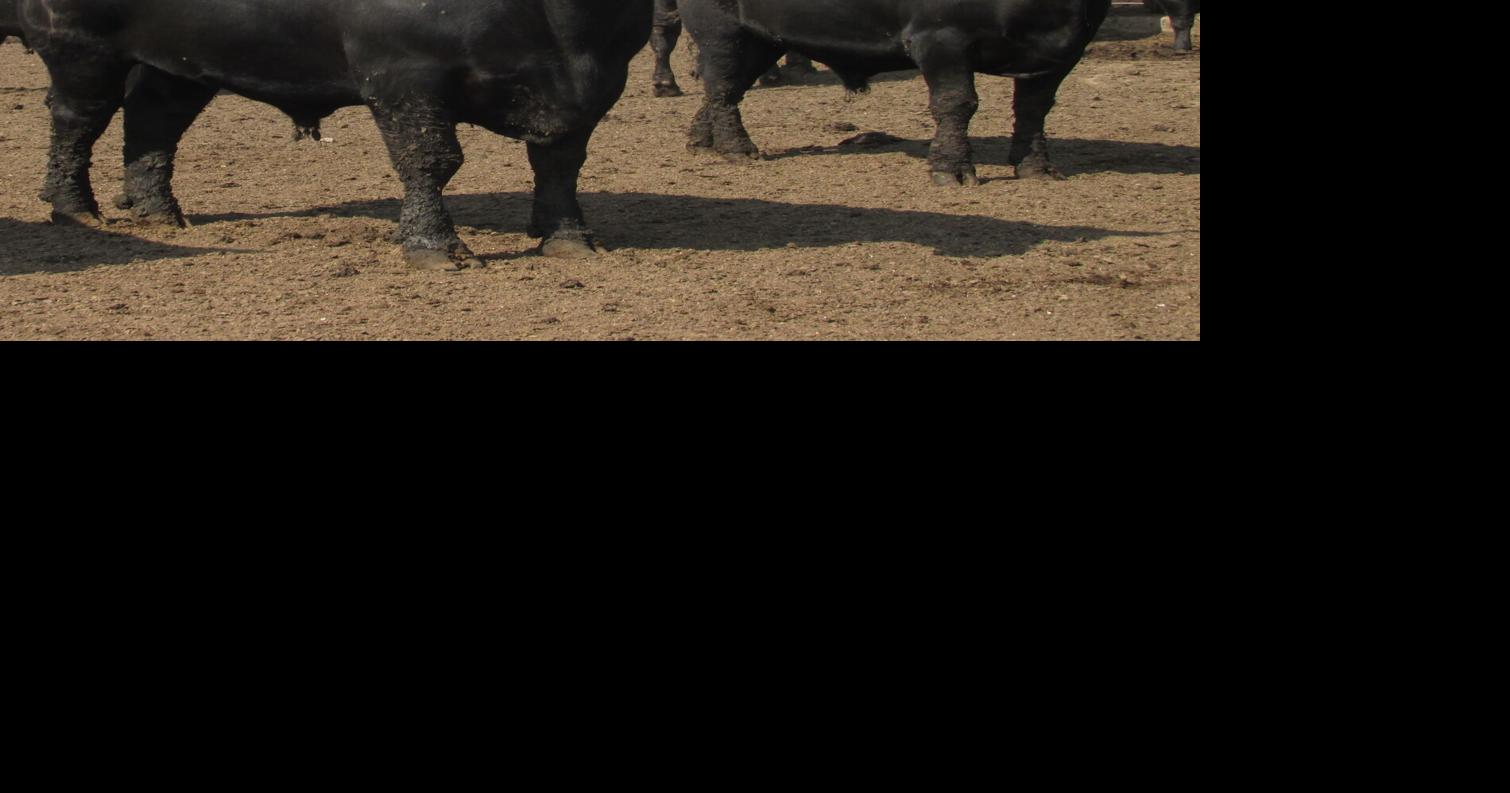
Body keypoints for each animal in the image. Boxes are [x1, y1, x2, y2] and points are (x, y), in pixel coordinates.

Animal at [18, 0, 653, 269]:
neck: (567, 35)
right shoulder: (403, 73)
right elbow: (430, 161)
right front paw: (434, 246)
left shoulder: (602, 80)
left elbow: (560, 164)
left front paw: (569, 238)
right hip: (81, 48)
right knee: (77, 121)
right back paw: (73, 207)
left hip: (179, 62)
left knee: (152, 125)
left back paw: (158, 212)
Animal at [681, 0, 1110, 187]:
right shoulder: (941, 38)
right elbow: (956, 103)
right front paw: (951, 168)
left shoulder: (1064, 53)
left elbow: (1034, 109)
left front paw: (1037, 166)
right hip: (721, 28)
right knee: (722, 86)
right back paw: (736, 148)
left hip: (764, 38)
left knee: (726, 88)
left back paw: (703, 140)